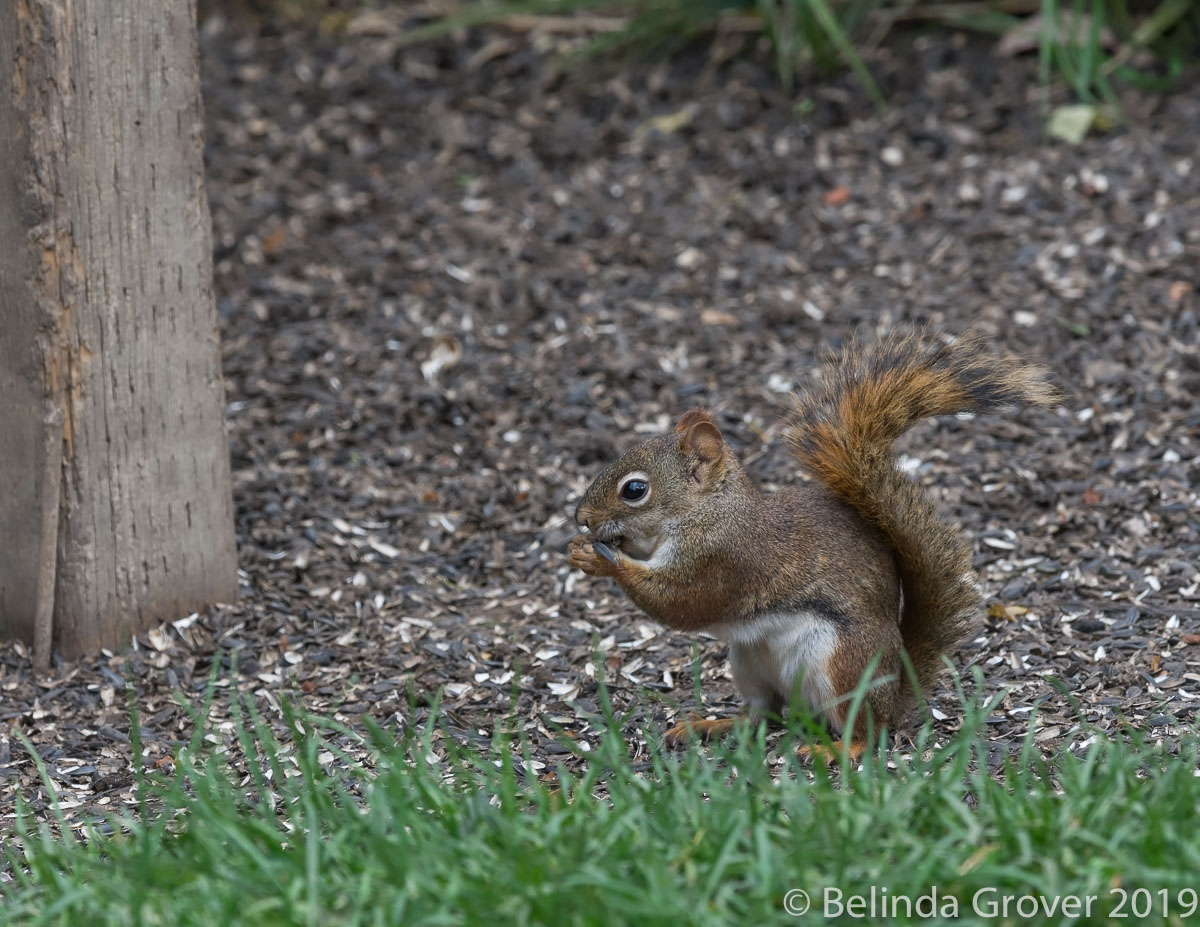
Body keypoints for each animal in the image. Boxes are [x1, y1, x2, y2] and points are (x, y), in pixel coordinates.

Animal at [568, 331, 1057, 760]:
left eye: (634, 490)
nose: (581, 518)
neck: (705, 512)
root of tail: (896, 691)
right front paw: (582, 548)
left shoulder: (722, 559)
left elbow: (679, 602)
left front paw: (603, 562)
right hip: (749, 662)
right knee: (764, 715)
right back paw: (710, 725)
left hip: (841, 665)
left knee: (862, 730)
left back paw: (835, 750)